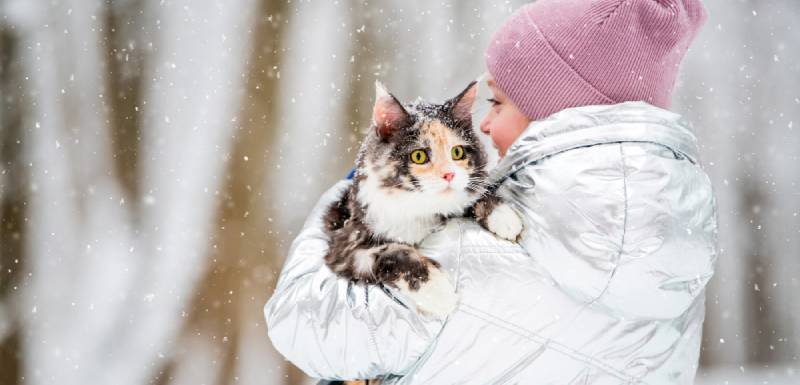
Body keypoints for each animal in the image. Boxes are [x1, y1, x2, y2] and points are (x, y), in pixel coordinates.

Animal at [322, 79, 520, 316]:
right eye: (419, 156)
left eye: (458, 153)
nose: (449, 174)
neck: (419, 209)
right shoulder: (345, 247)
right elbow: (394, 251)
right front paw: (438, 292)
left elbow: (471, 195)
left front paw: (503, 216)